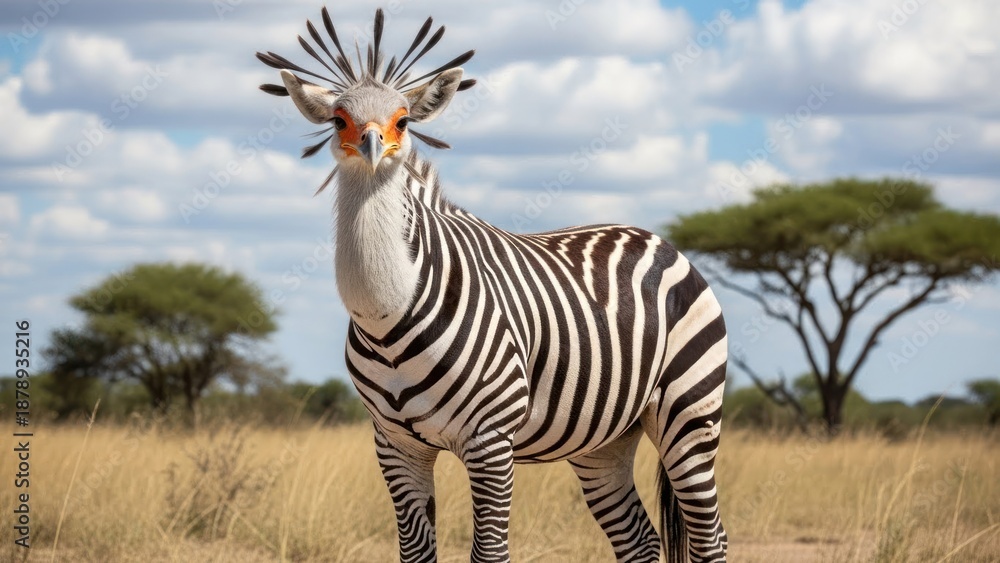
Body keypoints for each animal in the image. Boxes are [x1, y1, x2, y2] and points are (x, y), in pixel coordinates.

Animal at [258, 7, 728, 562]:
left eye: (403, 121)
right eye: (338, 121)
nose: (372, 152)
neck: (388, 319)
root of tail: (655, 238)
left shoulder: (490, 441)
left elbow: (489, 552)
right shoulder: (395, 445)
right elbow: (415, 552)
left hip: (689, 414)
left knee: (710, 536)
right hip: (606, 438)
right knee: (640, 540)